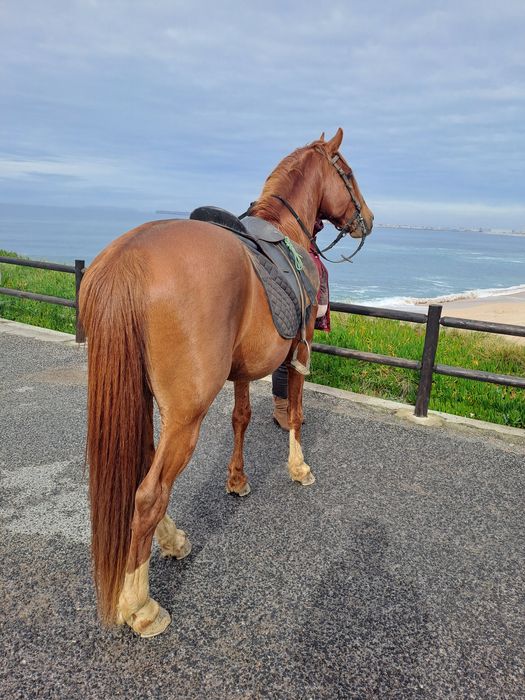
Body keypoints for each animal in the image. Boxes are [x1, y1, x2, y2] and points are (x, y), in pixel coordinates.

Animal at [79, 128, 374, 637]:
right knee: (149, 493)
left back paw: (171, 541)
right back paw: (140, 605)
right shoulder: (300, 349)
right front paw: (298, 467)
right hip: (185, 416)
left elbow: (241, 417)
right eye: (349, 173)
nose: (369, 219)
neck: (285, 229)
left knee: (144, 472)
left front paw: (236, 479)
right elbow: (295, 412)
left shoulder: (241, 369)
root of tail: (128, 261)